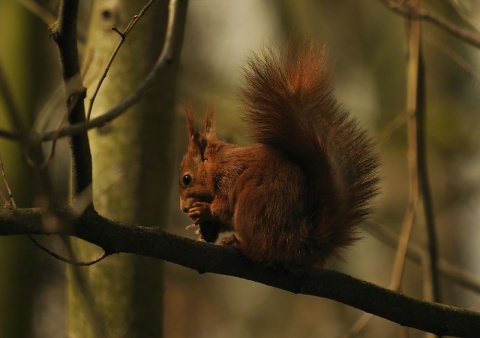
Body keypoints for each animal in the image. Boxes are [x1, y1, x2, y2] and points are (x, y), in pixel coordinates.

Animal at [178, 43, 376, 270]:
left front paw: (204, 209)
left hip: (254, 208)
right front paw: (202, 229)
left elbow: (225, 206)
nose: (183, 208)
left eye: (186, 179)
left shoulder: (229, 177)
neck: (218, 164)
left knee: (262, 252)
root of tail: (300, 243)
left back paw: (239, 245)